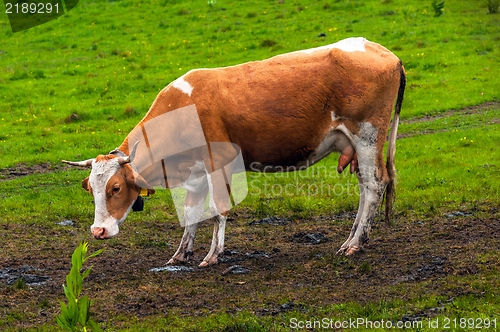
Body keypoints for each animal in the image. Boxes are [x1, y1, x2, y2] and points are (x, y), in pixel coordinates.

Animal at [63, 37, 406, 268]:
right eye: (90, 188)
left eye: (115, 188)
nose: (98, 231)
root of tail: (379, 49)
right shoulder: (194, 171)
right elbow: (191, 213)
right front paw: (181, 254)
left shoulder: (219, 162)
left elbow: (218, 209)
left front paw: (213, 255)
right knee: (365, 188)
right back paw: (351, 238)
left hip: (367, 136)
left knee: (374, 185)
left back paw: (356, 244)